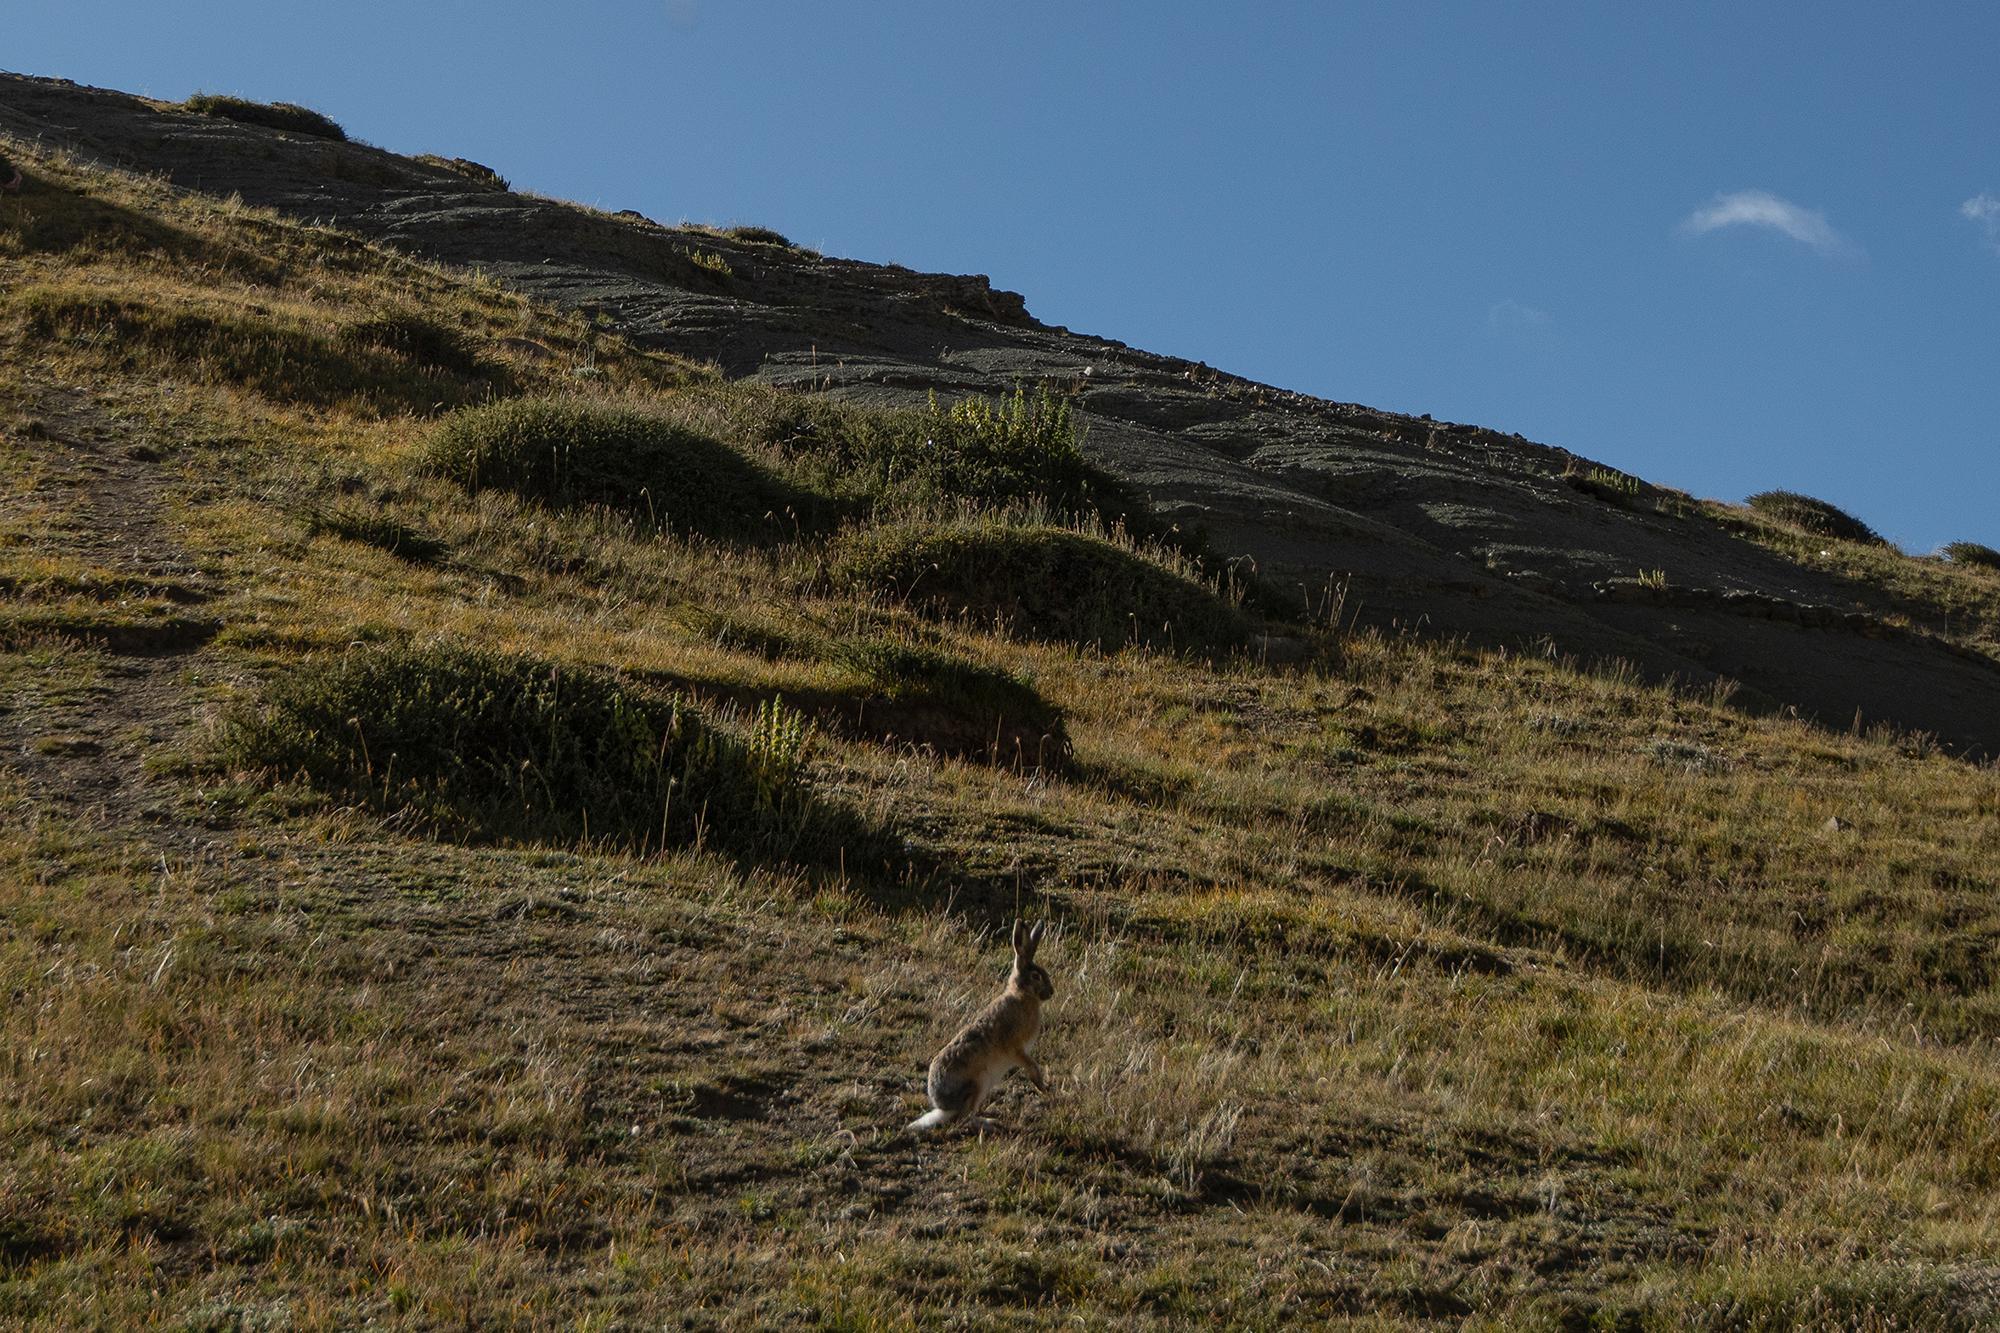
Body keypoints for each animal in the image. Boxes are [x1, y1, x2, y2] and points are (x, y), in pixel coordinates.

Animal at [909, 920, 1053, 1133]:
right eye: (1036, 976)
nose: (1051, 992)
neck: (1023, 995)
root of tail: (945, 1107)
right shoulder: (1015, 1048)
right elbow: (1031, 1065)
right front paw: (1041, 1086)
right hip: (978, 1084)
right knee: (962, 1119)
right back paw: (990, 1124)